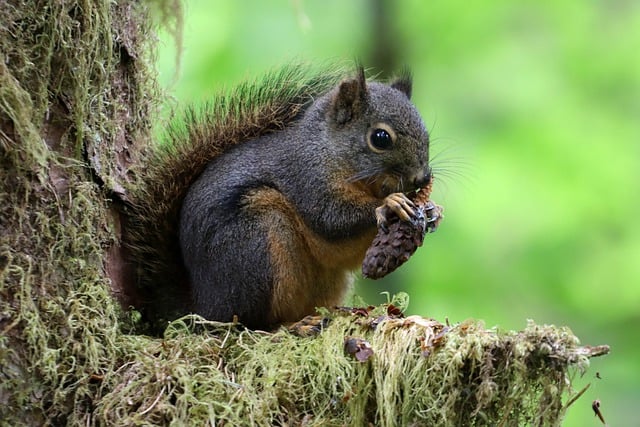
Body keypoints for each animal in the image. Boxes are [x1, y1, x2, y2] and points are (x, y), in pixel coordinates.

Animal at [124, 63, 436, 332]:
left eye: (427, 135)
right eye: (381, 138)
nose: (422, 178)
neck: (331, 152)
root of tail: (201, 306)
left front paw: (431, 211)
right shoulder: (306, 179)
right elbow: (330, 219)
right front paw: (388, 204)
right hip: (255, 245)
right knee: (247, 323)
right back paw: (290, 327)